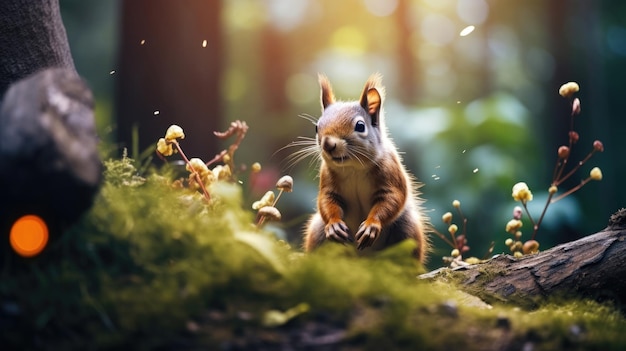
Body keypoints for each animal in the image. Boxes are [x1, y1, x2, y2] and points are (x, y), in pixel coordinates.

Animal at [302, 73, 428, 262]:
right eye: (317, 127)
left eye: (360, 126)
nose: (328, 144)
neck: (353, 167)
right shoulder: (328, 179)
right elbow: (327, 200)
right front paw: (333, 225)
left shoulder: (390, 171)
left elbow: (392, 198)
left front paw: (371, 225)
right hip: (317, 231)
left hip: (407, 230)